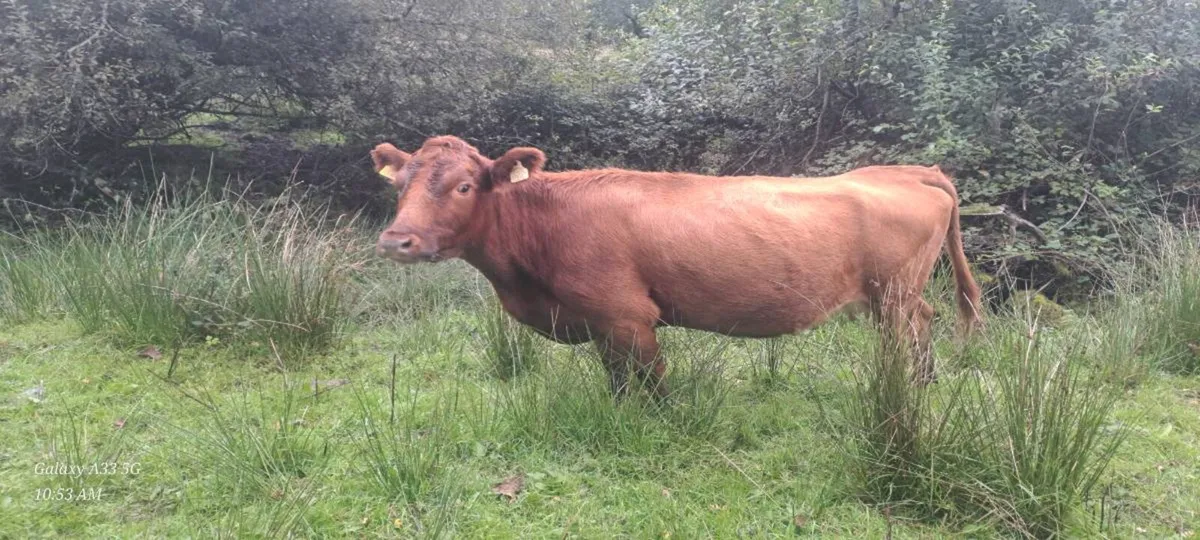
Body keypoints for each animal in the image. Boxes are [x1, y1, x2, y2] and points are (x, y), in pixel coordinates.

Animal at [371, 135, 983, 399]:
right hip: (897, 296)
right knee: (925, 322)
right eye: (400, 186)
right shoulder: (602, 324)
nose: (397, 241)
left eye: (464, 186)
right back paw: (926, 383)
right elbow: (617, 382)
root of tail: (910, 170)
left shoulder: (627, 317)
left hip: (893, 294)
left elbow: (653, 383)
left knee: (910, 330)